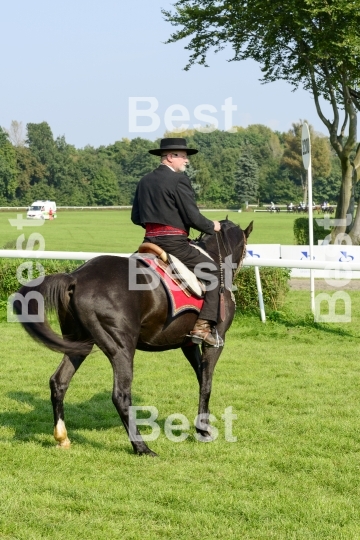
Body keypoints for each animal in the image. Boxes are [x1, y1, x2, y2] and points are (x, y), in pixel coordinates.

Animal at [14, 219, 253, 456]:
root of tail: (76, 277)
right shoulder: (215, 342)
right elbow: (207, 383)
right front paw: (203, 430)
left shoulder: (188, 345)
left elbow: (201, 378)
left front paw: (205, 425)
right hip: (121, 348)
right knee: (120, 394)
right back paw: (142, 447)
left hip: (79, 345)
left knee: (59, 382)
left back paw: (62, 437)